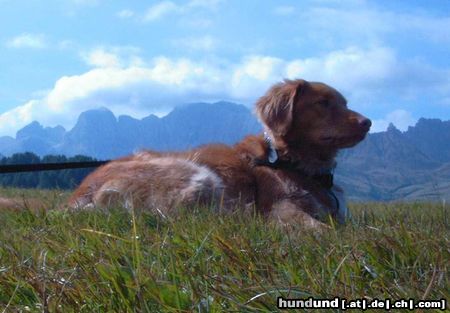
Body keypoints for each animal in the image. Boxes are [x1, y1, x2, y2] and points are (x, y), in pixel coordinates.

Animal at [67, 78, 370, 229]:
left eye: (345, 103)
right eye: (323, 103)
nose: (368, 122)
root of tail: (79, 197)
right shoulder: (279, 207)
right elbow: (325, 231)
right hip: (198, 175)